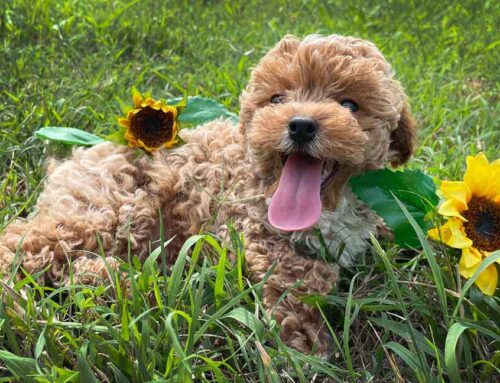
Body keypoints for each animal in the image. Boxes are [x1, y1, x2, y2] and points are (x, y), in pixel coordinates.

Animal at [0, 34, 414, 356]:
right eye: (277, 99)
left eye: (350, 105)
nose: (300, 125)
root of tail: (71, 160)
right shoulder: (252, 227)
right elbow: (294, 276)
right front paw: (309, 344)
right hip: (111, 206)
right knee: (22, 243)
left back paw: (121, 283)